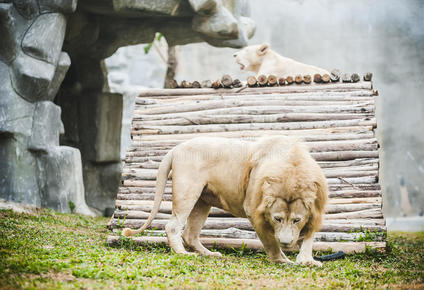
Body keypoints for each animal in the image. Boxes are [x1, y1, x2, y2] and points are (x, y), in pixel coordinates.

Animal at [122, 137, 328, 266]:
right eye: (277, 219)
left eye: (297, 220)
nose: (286, 242)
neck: (292, 173)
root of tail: (175, 149)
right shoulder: (253, 209)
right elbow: (270, 241)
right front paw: (283, 260)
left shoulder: (316, 210)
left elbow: (309, 237)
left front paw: (307, 261)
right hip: (187, 191)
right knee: (173, 226)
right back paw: (183, 253)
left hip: (202, 201)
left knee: (190, 234)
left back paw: (209, 254)